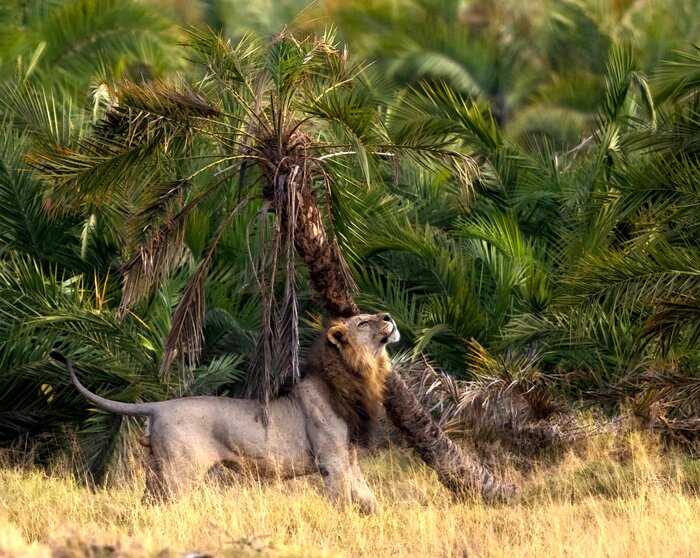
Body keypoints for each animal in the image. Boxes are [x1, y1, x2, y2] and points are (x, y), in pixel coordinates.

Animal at [50, 312, 400, 516]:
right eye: (363, 322)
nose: (388, 316)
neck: (360, 375)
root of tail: (159, 405)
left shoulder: (348, 457)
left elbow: (367, 497)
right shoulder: (332, 459)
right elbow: (344, 500)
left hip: (156, 470)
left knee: (147, 504)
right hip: (180, 472)